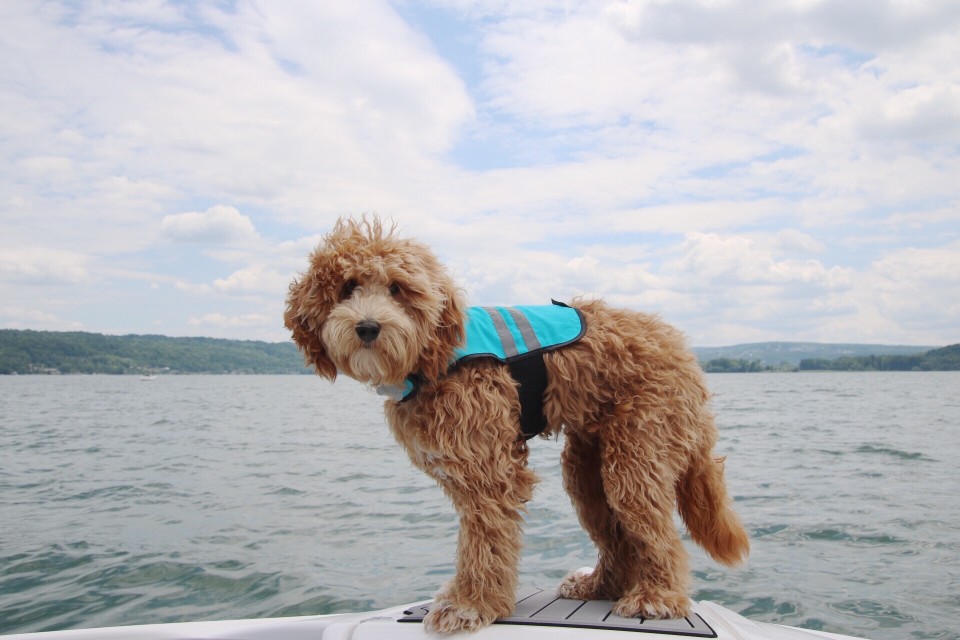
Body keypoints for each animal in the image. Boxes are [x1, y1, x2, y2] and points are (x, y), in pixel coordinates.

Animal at [284, 216, 752, 636]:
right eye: (347, 287)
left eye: (397, 288)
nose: (367, 328)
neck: (434, 354)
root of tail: (686, 353)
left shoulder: (487, 471)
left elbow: (484, 542)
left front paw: (470, 606)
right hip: (587, 468)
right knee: (615, 535)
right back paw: (598, 585)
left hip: (638, 451)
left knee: (657, 533)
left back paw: (658, 597)